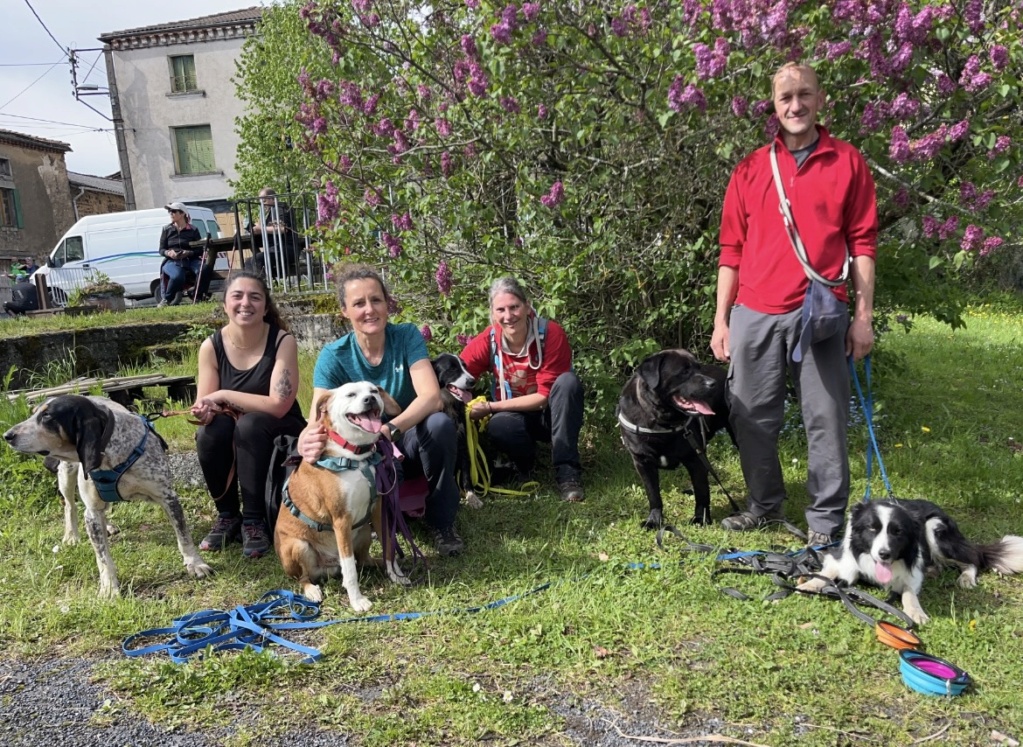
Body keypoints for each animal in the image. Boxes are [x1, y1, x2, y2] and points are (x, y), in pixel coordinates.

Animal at [1, 392, 212, 597]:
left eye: (47, 416)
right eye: (33, 413)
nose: (7, 435)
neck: (112, 455)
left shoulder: (168, 498)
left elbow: (184, 536)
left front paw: (195, 563)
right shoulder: (92, 512)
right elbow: (102, 557)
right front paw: (109, 587)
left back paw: (107, 525)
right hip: (66, 475)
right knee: (70, 505)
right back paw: (72, 535)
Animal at [278, 380, 413, 609]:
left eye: (374, 391)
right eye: (351, 394)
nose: (370, 399)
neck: (356, 456)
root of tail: (328, 568)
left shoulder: (378, 510)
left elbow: (388, 546)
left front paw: (395, 575)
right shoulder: (341, 520)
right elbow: (349, 570)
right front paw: (357, 600)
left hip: (364, 531)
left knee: (363, 560)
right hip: (298, 546)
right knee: (304, 577)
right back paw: (311, 590)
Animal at [613, 347, 736, 528]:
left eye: (698, 368)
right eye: (684, 371)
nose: (712, 384)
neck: (661, 421)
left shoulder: (694, 457)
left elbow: (702, 491)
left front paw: (700, 518)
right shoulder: (642, 462)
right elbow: (653, 495)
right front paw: (654, 520)